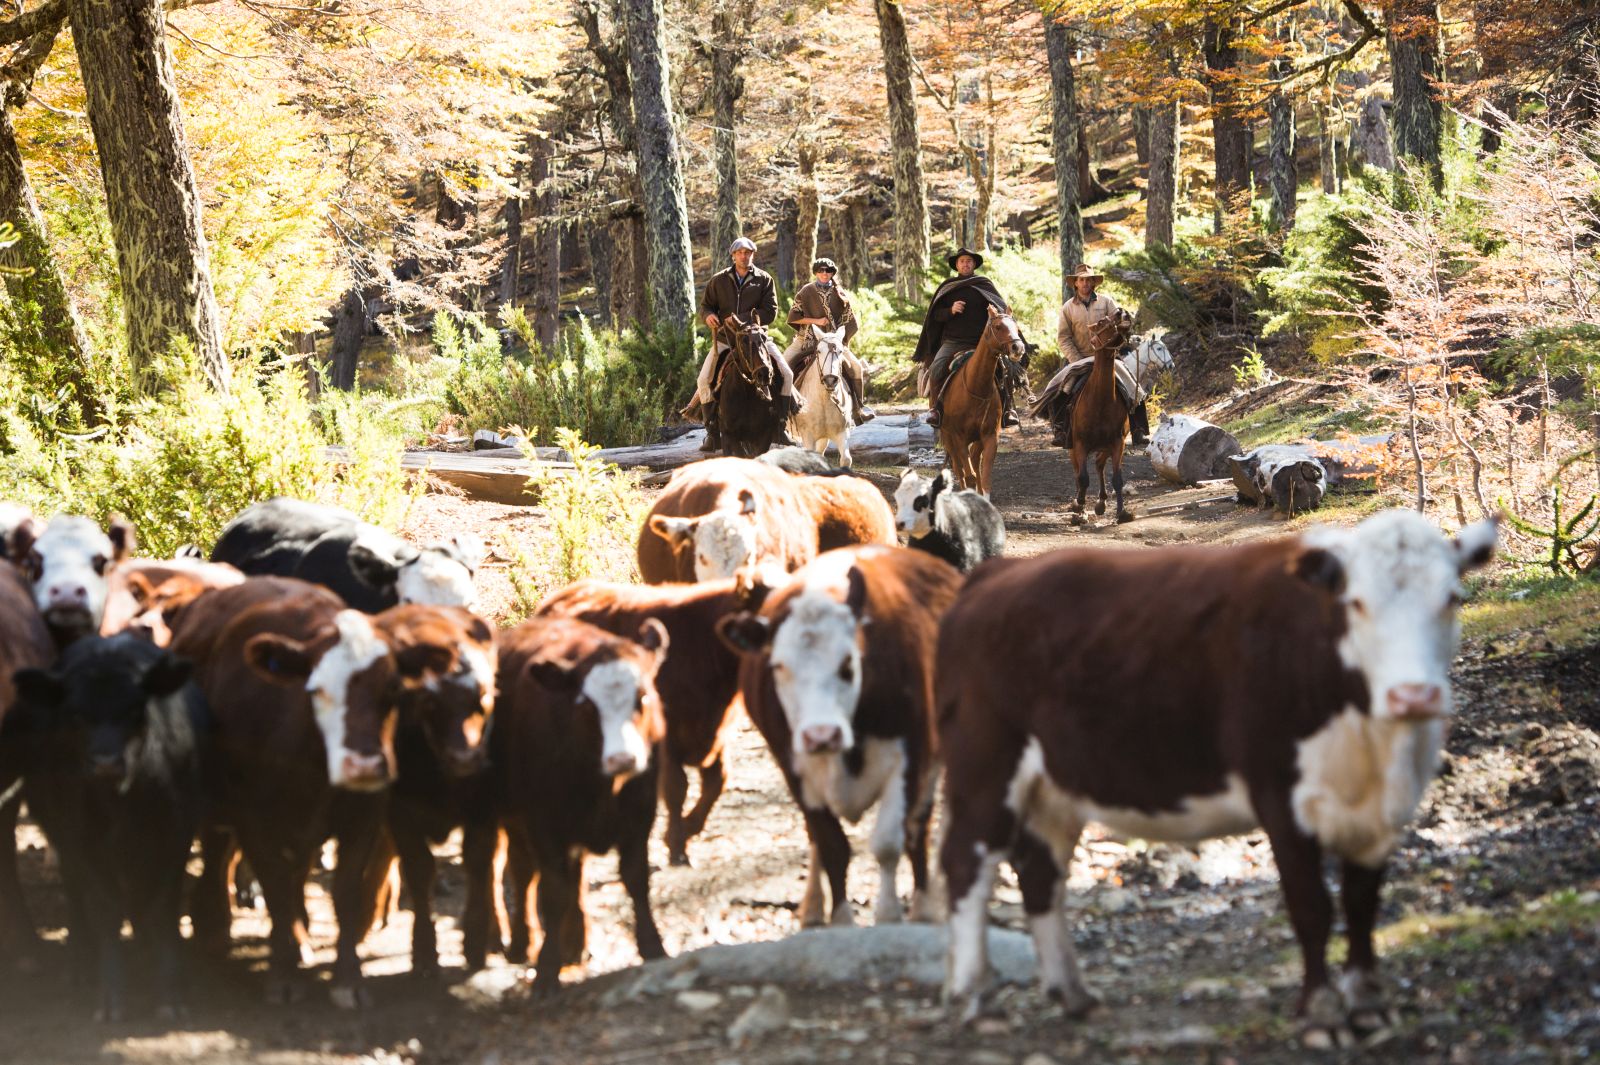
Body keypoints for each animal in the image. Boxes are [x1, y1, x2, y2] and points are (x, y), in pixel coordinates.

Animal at [9, 635, 206, 1020]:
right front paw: (111, 993)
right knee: (75, 893)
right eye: (76, 714)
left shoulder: (176, 832)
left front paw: (171, 991)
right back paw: (81, 964)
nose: (105, 763)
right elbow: (106, 907)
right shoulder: (80, 838)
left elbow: (163, 908)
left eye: (134, 709)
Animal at [481, 615, 669, 994]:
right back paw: (519, 940)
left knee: (572, 874)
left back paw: (576, 941)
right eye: (585, 704)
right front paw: (546, 969)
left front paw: (652, 946)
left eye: (642, 696)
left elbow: (636, 879)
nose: (623, 759)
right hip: (508, 815)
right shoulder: (544, 824)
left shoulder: (640, 817)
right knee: (517, 872)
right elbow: (553, 892)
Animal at [537, 573, 773, 867]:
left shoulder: (717, 734)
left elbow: (716, 783)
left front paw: (686, 830)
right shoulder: (668, 739)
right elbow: (676, 788)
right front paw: (677, 845)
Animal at [717, 545, 962, 927]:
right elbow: (832, 847)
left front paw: (889, 915)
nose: (821, 735)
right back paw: (813, 907)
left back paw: (924, 907)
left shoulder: (912, 758)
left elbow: (889, 843)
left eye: (848, 662)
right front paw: (841, 920)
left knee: (918, 828)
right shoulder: (795, 770)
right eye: (778, 666)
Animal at [936, 509, 1498, 1044]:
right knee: (968, 862)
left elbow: (1361, 906)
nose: (1414, 695)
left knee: (1039, 870)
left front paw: (1367, 1005)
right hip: (985, 764)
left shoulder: (1384, 813)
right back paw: (978, 998)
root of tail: (994, 575)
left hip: (1056, 784)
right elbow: (1312, 907)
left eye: (1452, 598)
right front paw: (1321, 1013)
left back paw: (1073, 993)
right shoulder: (1280, 797)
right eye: (1356, 603)